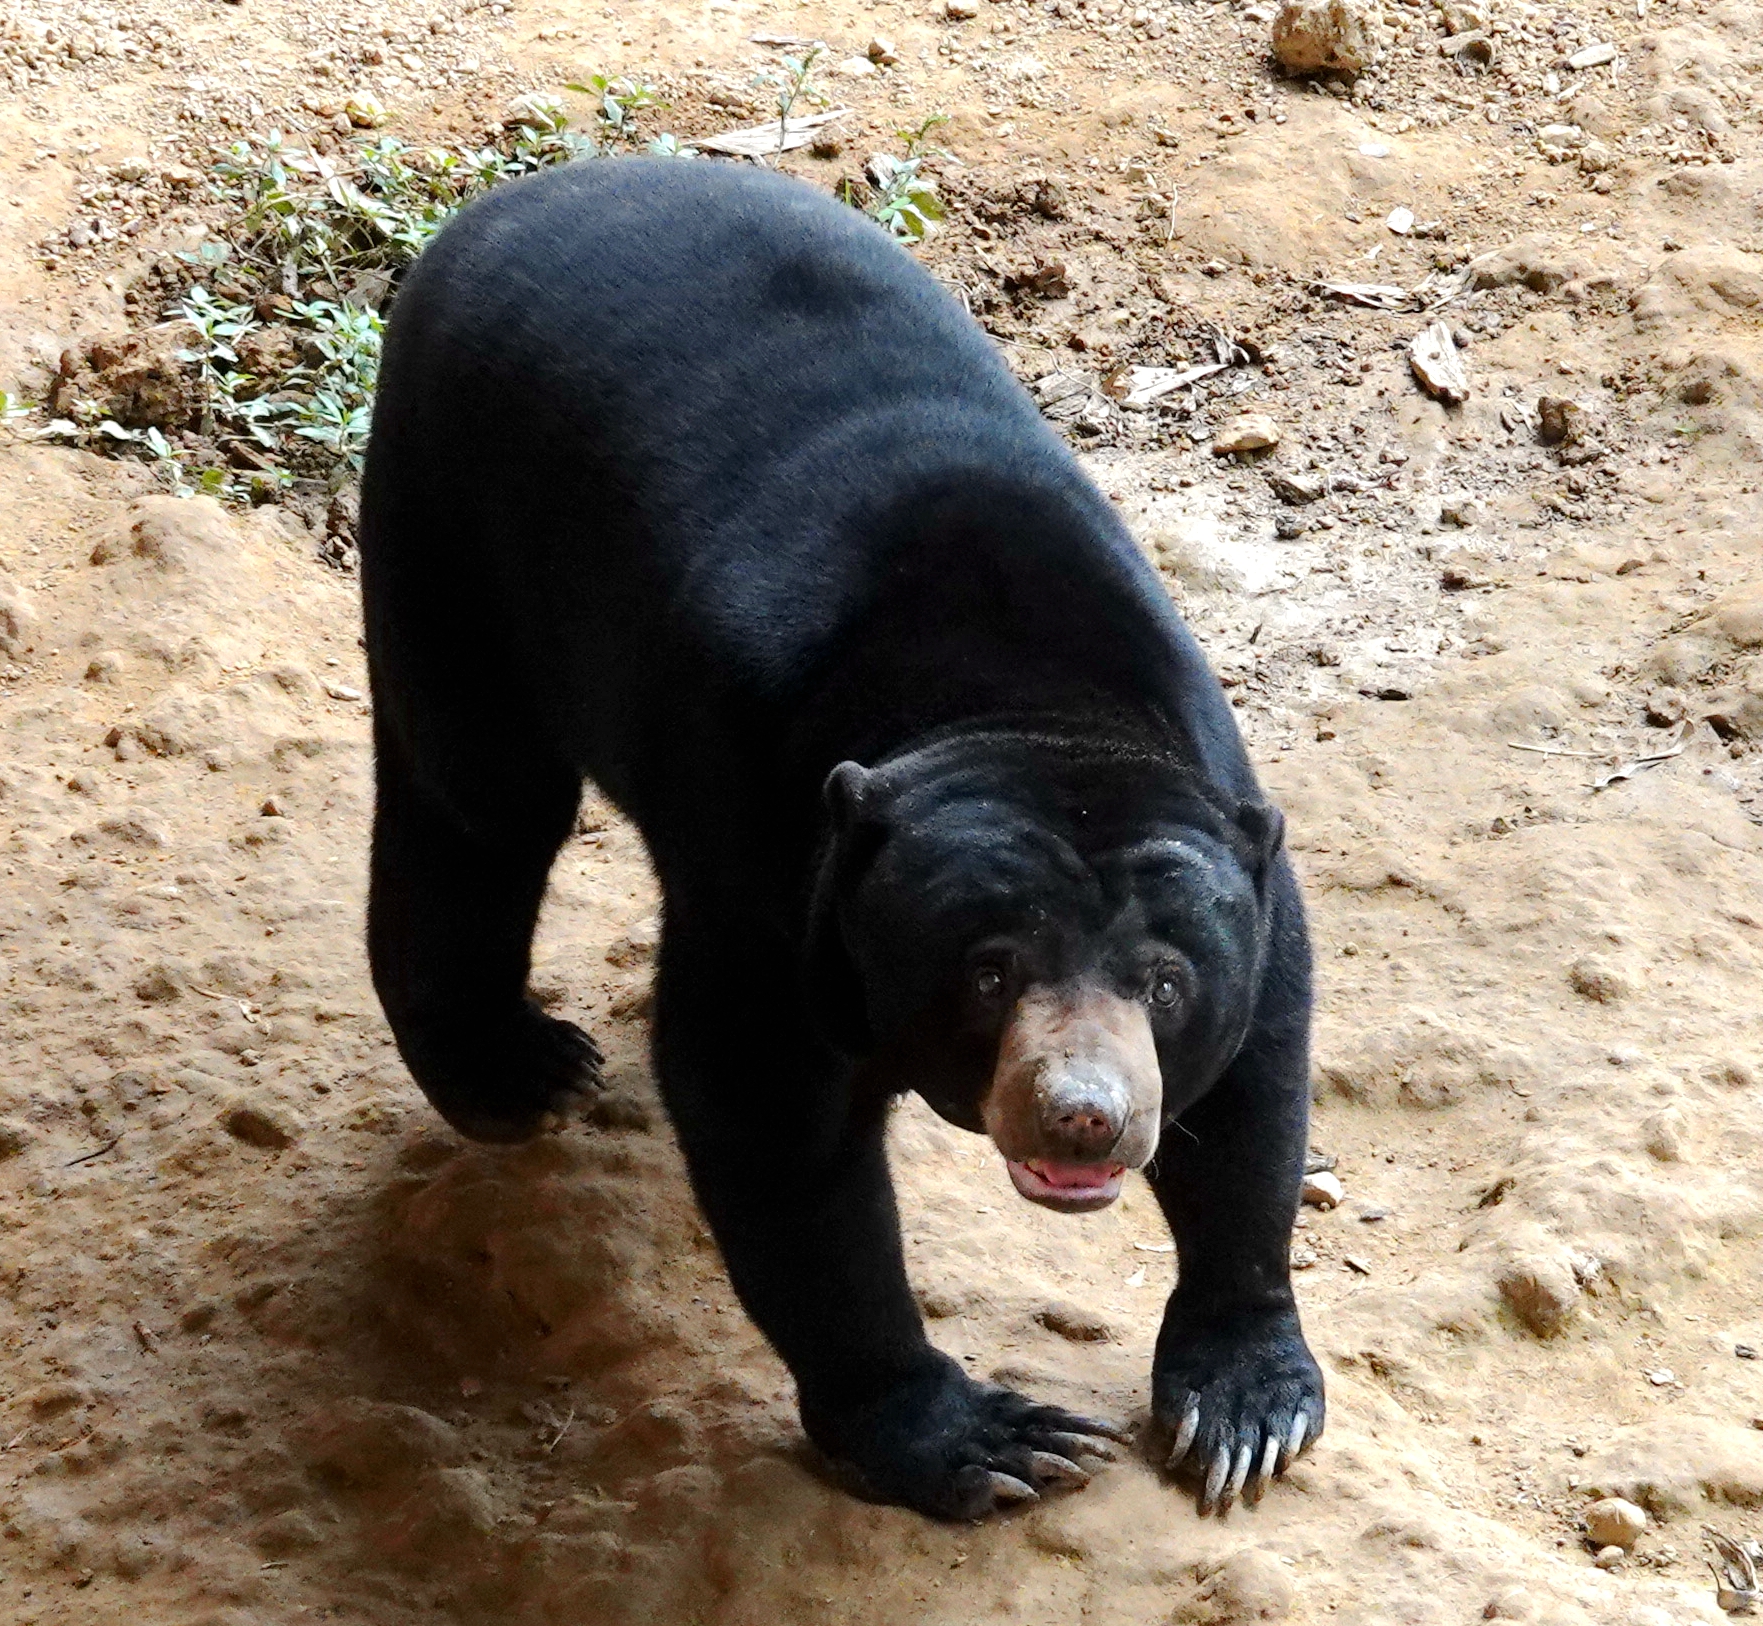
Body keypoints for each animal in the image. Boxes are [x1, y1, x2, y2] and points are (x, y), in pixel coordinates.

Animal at [357, 158, 1325, 1516]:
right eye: (987, 973)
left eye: (1165, 983)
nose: (1083, 1117)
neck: (1019, 700)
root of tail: (533, 190)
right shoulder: (769, 879)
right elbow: (769, 1122)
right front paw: (982, 1438)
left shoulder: (1237, 843)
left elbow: (1253, 1087)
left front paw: (1240, 1408)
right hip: (453, 516)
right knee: (474, 799)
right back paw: (513, 1072)